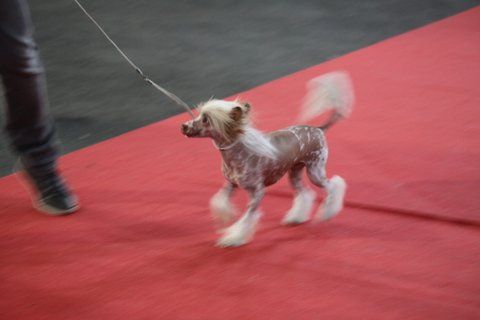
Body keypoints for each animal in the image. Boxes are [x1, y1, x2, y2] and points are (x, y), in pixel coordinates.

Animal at [180, 72, 352, 248]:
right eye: (200, 115)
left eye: (206, 119)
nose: (183, 126)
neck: (237, 152)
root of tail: (318, 129)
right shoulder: (231, 184)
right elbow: (220, 201)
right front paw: (225, 218)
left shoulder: (257, 192)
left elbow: (246, 218)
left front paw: (234, 238)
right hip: (295, 173)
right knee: (305, 193)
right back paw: (297, 217)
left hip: (315, 171)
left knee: (333, 186)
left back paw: (328, 212)